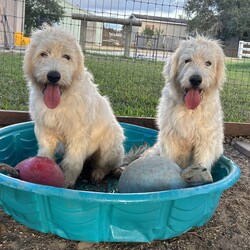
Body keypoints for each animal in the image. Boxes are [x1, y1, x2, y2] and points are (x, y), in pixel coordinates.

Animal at [23, 25, 124, 187]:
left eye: (66, 57)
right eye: (43, 54)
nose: (53, 76)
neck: (62, 99)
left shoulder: (78, 134)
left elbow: (72, 162)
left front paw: (67, 182)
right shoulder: (44, 130)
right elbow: (45, 153)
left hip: (110, 145)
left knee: (107, 165)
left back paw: (99, 173)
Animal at [157, 35, 226, 184]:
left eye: (208, 63)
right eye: (187, 60)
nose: (195, 79)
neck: (191, 110)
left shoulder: (206, 141)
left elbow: (202, 162)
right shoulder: (170, 138)